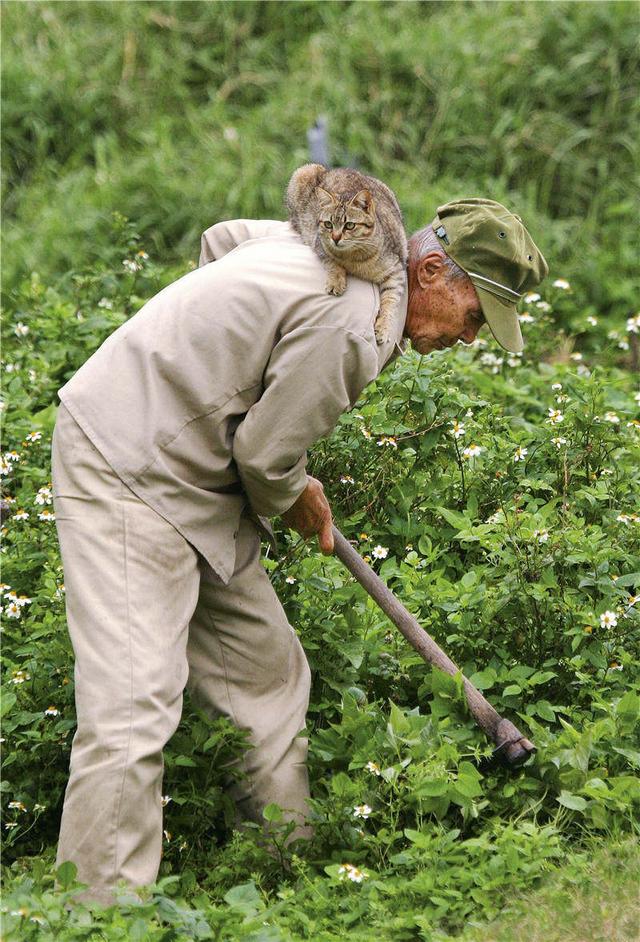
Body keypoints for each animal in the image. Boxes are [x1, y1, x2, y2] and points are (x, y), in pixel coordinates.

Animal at [286, 164, 408, 344]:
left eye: (349, 225)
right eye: (328, 224)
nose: (335, 238)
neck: (356, 259)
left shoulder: (396, 270)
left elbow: (391, 300)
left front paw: (384, 327)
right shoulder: (319, 244)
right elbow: (332, 263)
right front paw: (336, 282)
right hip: (303, 173)